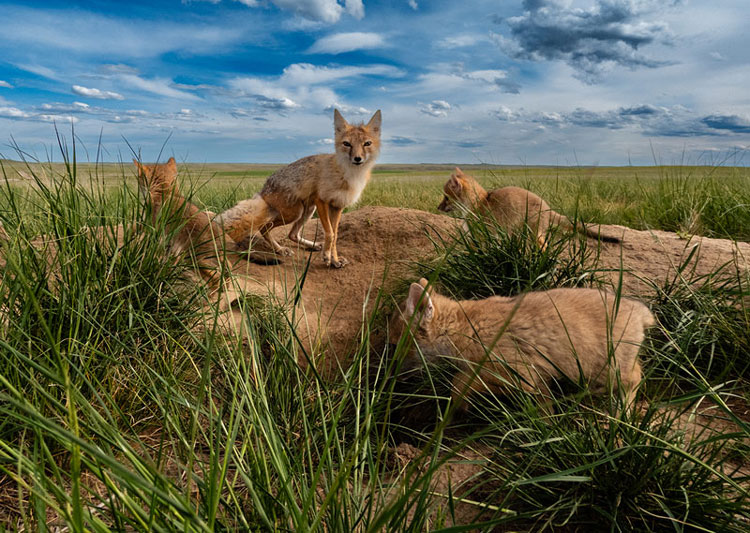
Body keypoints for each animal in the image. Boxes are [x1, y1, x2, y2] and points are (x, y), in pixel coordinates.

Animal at [214, 108, 382, 268]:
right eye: (347, 144)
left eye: (367, 144)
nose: (357, 159)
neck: (349, 175)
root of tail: (263, 190)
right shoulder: (321, 200)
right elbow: (330, 234)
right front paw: (327, 256)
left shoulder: (337, 206)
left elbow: (334, 236)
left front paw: (334, 259)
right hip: (295, 212)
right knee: (264, 228)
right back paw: (281, 250)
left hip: (307, 211)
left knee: (292, 234)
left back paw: (312, 245)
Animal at [389, 279, 654, 412]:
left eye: (393, 346)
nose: (389, 375)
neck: (464, 326)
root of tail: (640, 312)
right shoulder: (538, 380)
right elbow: (545, 405)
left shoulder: (518, 374)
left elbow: (460, 381)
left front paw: (459, 405)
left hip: (607, 369)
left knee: (636, 378)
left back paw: (622, 414)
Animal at [438, 167, 620, 247]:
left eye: (446, 197)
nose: (438, 207)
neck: (477, 203)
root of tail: (547, 207)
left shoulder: (484, 237)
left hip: (535, 233)